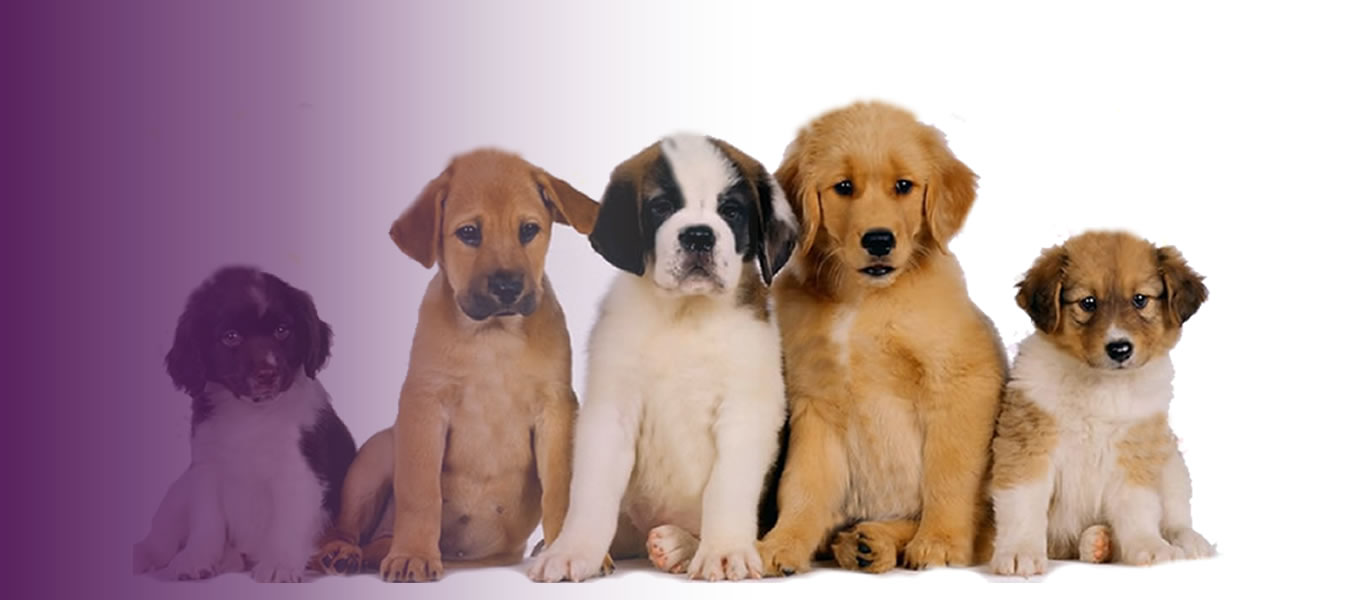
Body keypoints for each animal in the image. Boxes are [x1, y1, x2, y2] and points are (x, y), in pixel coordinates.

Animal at [133, 266, 357, 582]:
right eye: (231, 337)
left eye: (282, 330)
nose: (268, 373)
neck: (251, 415)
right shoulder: (207, 468)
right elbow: (206, 522)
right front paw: (195, 559)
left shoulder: (300, 471)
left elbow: (288, 521)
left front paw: (280, 563)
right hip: (180, 490)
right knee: (163, 532)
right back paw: (146, 555)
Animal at [311, 149, 598, 582]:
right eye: (469, 233)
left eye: (529, 230)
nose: (508, 287)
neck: (492, 337)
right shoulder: (424, 405)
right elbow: (420, 492)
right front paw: (413, 554)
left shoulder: (556, 408)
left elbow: (561, 488)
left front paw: (566, 551)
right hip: (378, 452)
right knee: (343, 526)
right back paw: (342, 553)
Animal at [527, 134, 799, 582]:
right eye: (661, 207)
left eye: (731, 211)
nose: (699, 235)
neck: (684, 314)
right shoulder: (610, 411)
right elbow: (592, 490)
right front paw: (573, 551)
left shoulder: (747, 411)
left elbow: (727, 486)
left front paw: (724, 550)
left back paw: (680, 545)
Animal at [756, 102, 1006, 575]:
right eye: (844, 187)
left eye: (903, 186)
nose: (878, 241)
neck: (863, 301)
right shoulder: (814, 401)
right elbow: (801, 486)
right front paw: (783, 542)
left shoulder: (962, 382)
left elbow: (948, 473)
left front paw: (940, 541)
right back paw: (859, 544)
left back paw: (879, 540)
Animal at [990, 231, 1214, 576]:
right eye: (1088, 302)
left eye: (1140, 299)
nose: (1119, 348)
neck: (1101, 385)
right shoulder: (1029, 444)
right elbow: (1024, 503)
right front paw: (1019, 552)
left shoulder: (1136, 449)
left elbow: (1138, 506)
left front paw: (1148, 546)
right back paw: (1097, 542)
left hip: (1172, 463)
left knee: (1176, 515)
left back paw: (1186, 541)